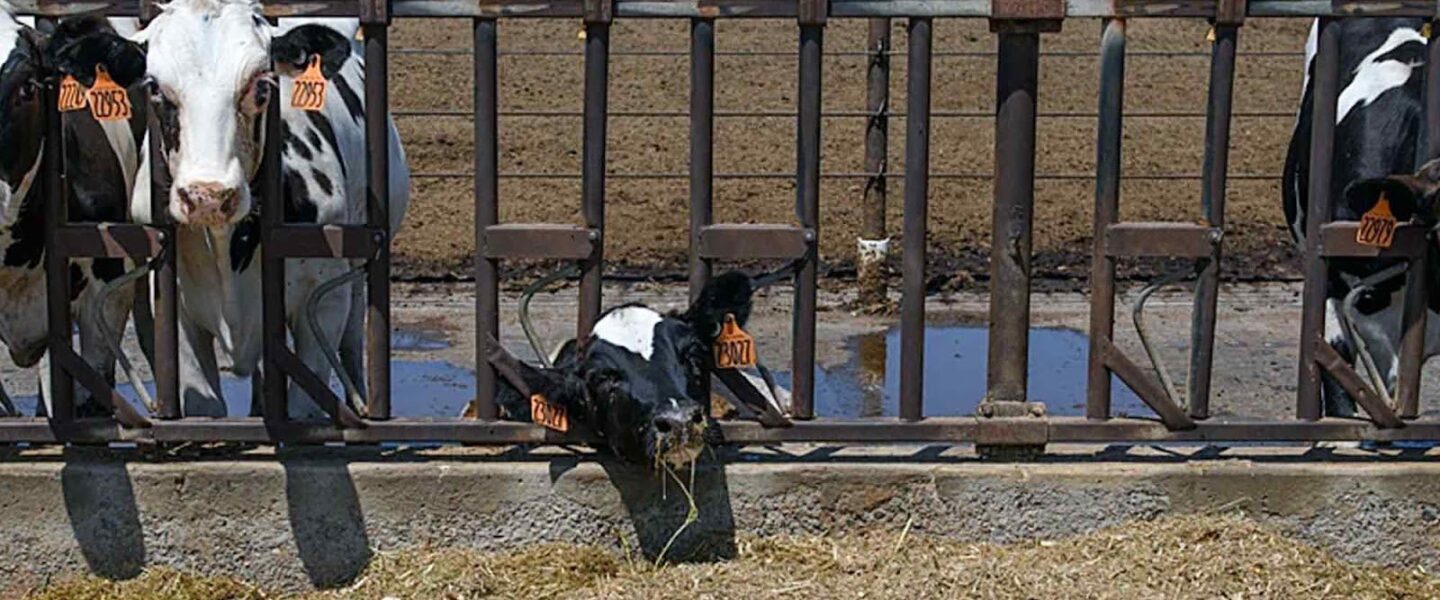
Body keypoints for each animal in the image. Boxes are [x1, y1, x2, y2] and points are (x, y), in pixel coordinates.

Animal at [122, 0, 410, 419]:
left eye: (260, 84)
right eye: (155, 87)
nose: (208, 196)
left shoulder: (322, 301)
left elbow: (305, 404)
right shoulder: (172, 309)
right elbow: (204, 407)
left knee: (354, 341)